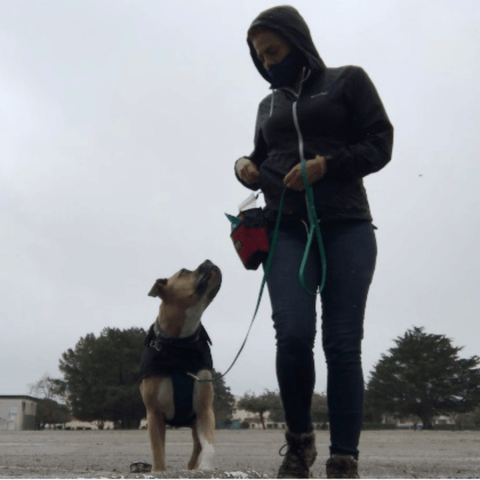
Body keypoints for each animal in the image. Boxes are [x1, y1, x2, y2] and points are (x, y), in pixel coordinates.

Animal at [139, 260, 221, 470]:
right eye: (184, 271)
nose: (209, 261)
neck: (180, 344)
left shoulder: (205, 411)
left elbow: (209, 447)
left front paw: (206, 468)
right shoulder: (154, 415)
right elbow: (158, 455)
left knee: (197, 447)